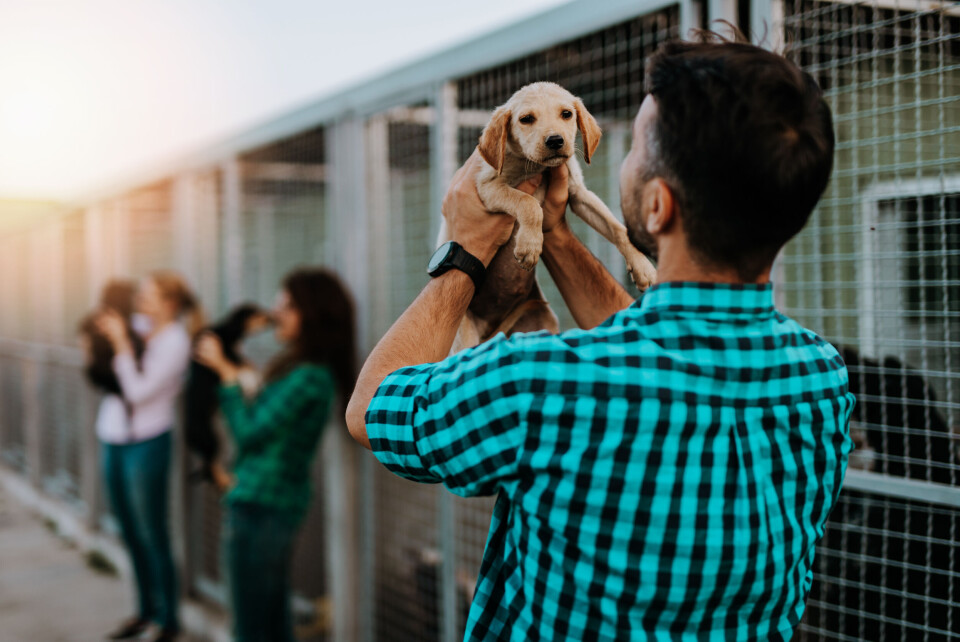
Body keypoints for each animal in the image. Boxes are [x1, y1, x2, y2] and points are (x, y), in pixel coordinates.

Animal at [184, 302, 270, 482]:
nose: (274, 318)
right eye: (256, 313)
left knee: (209, 466)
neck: (228, 329)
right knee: (210, 466)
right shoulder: (227, 352)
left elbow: (244, 360)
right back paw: (226, 480)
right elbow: (242, 361)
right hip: (209, 439)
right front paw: (251, 375)